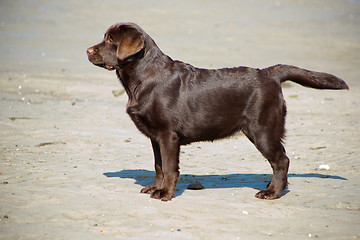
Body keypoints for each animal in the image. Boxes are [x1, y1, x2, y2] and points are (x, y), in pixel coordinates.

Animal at [86, 22, 348, 201]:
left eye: (111, 40)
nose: (88, 50)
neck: (143, 77)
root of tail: (270, 73)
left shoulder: (168, 135)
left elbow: (169, 167)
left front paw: (165, 194)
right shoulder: (155, 137)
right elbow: (158, 165)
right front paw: (155, 188)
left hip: (263, 130)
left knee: (281, 160)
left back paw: (272, 192)